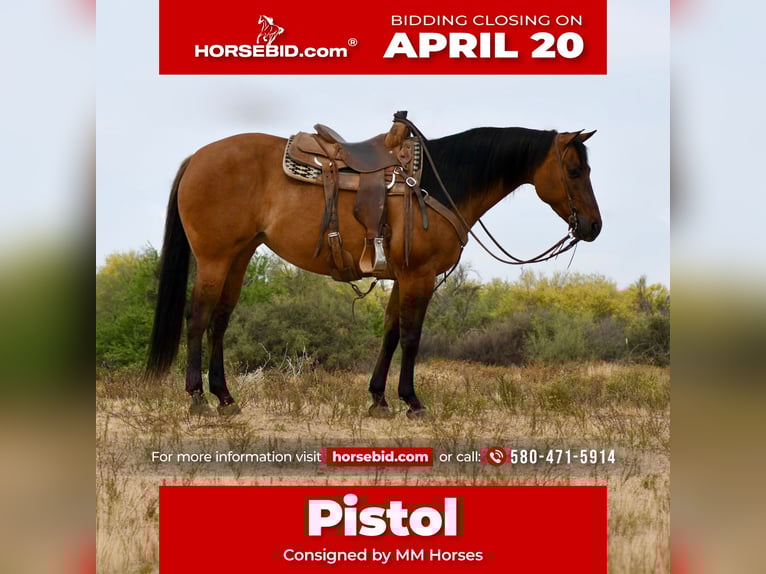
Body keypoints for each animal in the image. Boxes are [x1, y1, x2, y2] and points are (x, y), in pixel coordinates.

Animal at [145, 120, 602, 418]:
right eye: (574, 170)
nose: (594, 227)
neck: (438, 183)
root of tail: (198, 158)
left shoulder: (403, 277)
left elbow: (391, 332)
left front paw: (379, 399)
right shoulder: (420, 276)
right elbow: (413, 336)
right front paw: (412, 401)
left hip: (239, 256)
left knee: (220, 320)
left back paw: (225, 398)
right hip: (215, 258)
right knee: (198, 318)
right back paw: (197, 398)